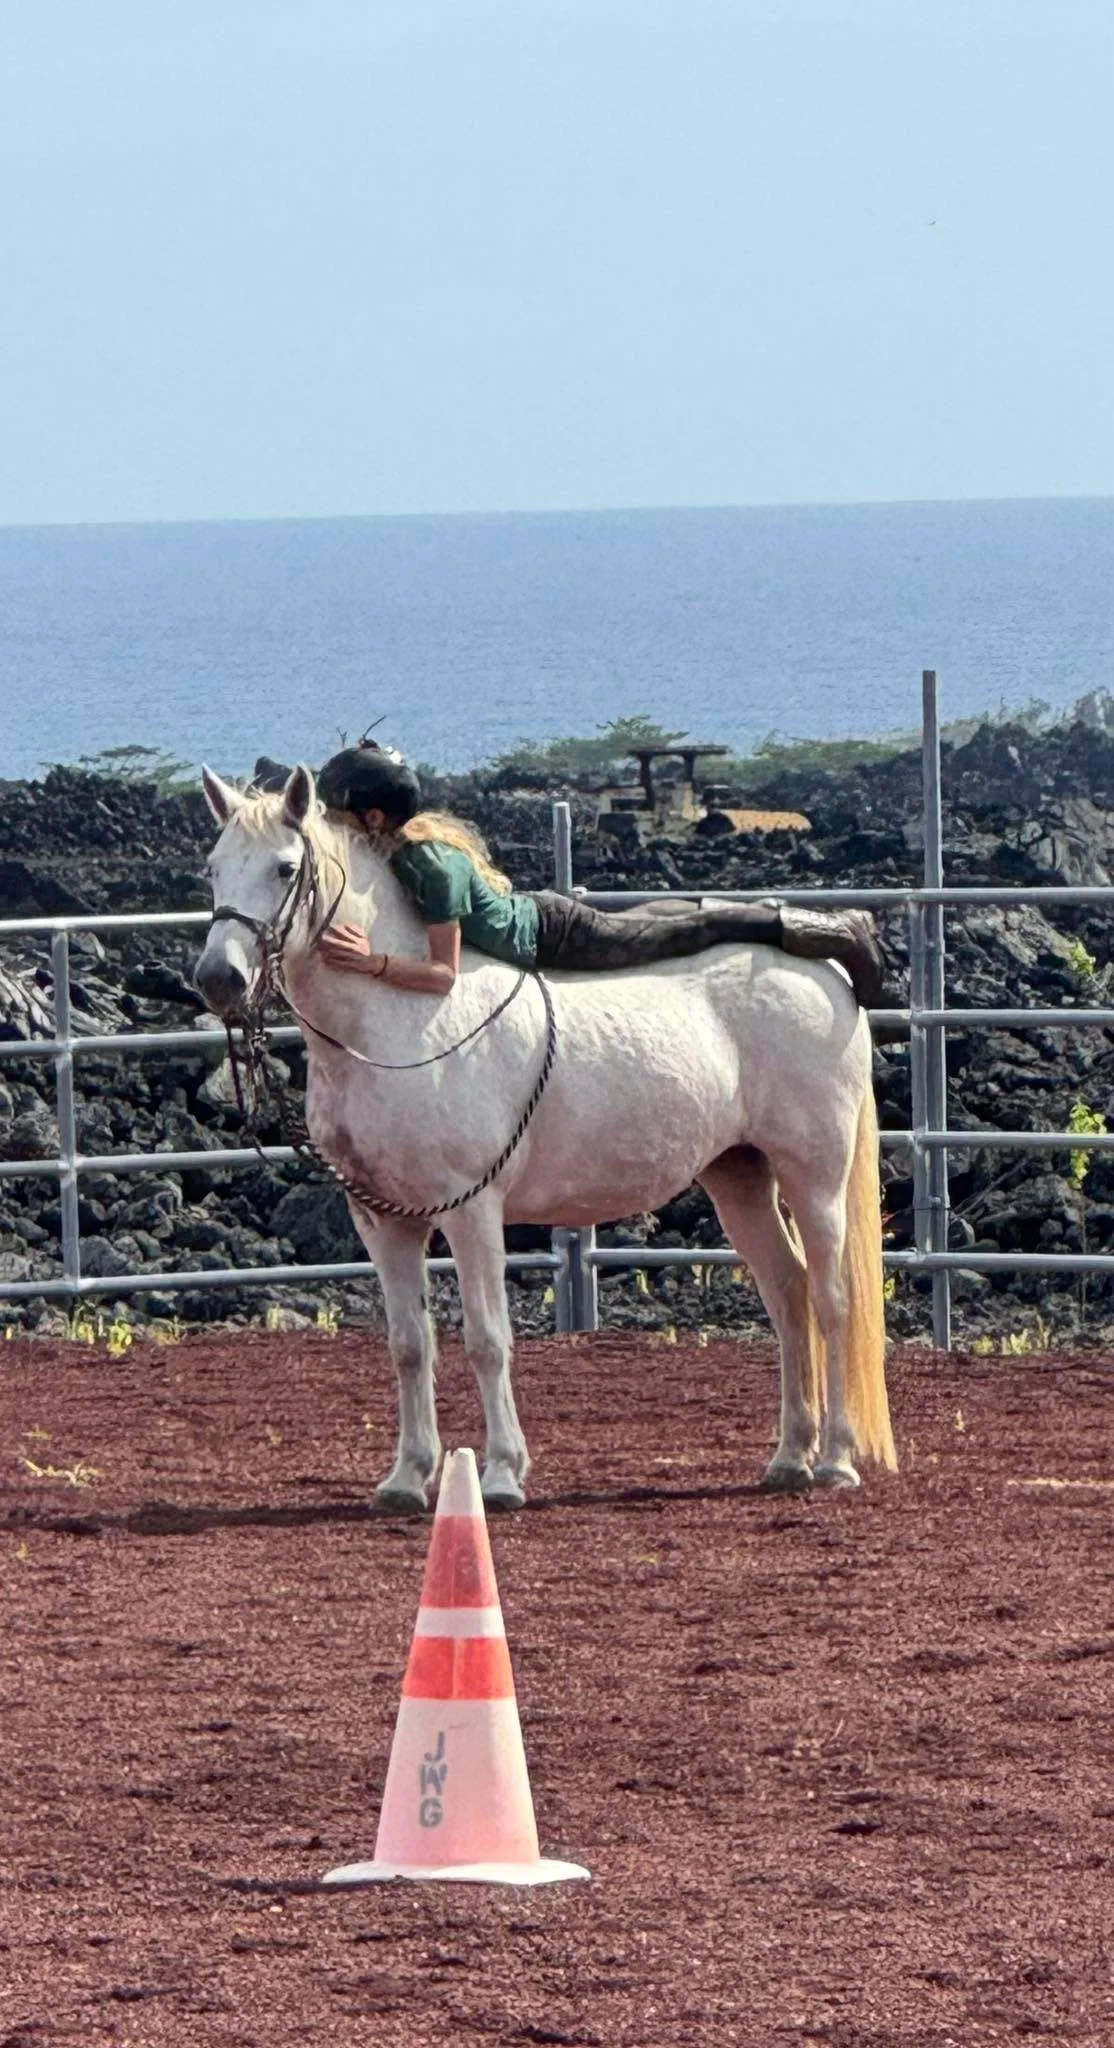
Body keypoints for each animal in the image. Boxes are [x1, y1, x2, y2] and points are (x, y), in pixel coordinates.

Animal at [194, 763, 895, 1508]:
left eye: (284, 868)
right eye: (213, 867)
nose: (218, 978)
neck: (402, 1022)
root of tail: (829, 979)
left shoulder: (471, 1211)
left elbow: (487, 1339)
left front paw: (501, 1473)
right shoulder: (382, 1220)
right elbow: (409, 1344)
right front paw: (407, 1477)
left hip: (814, 1175)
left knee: (831, 1299)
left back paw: (836, 1459)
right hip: (739, 1175)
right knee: (788, 1295)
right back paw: (791, 1457)